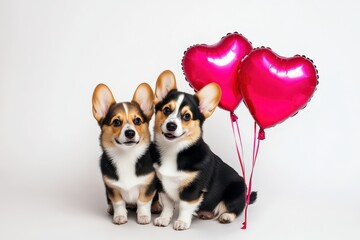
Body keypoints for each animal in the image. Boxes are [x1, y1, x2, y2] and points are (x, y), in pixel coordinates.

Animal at [92, 82, 160, 225]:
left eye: (137, 121)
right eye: (116, 122)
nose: (130, 133)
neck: (126, 156)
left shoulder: (148, 184)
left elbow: (143, 201)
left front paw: (143, 216)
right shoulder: (112, 187)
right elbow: (118, 203)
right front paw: (120, 216)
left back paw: (156, 206)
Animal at [151, 71, 256, 231]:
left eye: (187, 116)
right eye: (167, 110)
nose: (171, 126)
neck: (173, 150)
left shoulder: (193, 188)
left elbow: (185, 206)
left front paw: (182, 222)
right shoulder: (162, 185)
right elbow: (167, 206)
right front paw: (163, 219)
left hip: (236, 191)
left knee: (234, 208)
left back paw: (226, 216)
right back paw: (206, 214)